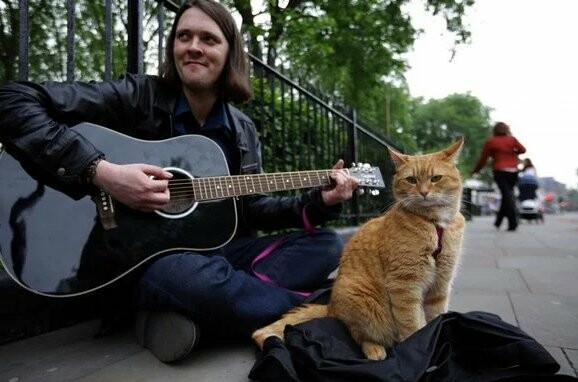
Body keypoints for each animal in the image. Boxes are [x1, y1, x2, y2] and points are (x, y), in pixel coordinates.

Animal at [251, 138, 464, 362]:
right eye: (412, 180)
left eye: (436, 178)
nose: (423, 192)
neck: (435, 224)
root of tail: (331, 307)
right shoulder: (405, 286)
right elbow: (412, 325)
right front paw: (419, 348)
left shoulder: (440, 286)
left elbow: (435, 316)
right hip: (364, 301)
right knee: (360, 335)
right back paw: (375, 350)